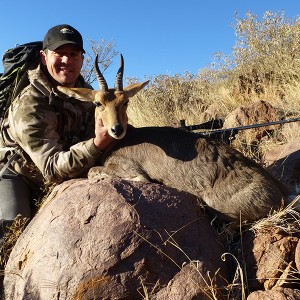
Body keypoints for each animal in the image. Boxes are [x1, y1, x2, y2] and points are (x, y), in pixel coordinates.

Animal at [57, 55, 294, 226]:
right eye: (98, 103)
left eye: (125, 102)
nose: (116, 129)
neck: (121, 141)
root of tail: (281, 190)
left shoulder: (129, 169)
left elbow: (96, 172)